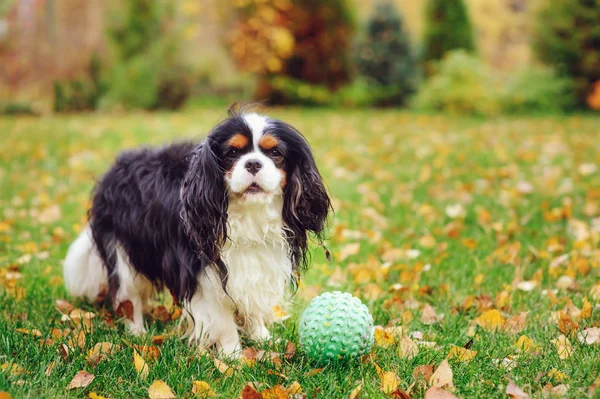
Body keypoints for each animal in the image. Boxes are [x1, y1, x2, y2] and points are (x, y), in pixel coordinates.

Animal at [64, 108, 332, 356]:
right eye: (232, 153)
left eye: (275, 153)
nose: (253, 163)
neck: (248, 215)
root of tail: (115, 168)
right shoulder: (205, 273)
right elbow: (223, 320)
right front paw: (233, 356)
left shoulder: (258, 265)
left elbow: (252, 304)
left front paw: (262, 338)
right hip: (123, 251)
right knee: (127, 295)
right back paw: (137, 332)